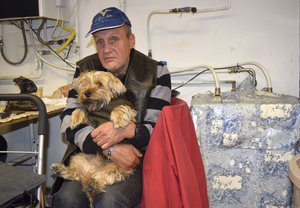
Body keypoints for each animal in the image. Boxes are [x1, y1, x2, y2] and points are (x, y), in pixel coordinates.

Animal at [50, 70, 137, 206]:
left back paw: (92, 185)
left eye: (99, 84)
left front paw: (119, 118)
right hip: (78, 158)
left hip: (119, 167)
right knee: (76, 174)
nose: (87, 93)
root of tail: (90, 172)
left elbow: (122, 108)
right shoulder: (92, 123)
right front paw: (75, 118)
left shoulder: (131, 114)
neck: (101, 106)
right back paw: (60, 170)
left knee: (104, 178)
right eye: (84, 83)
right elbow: (81, 110)